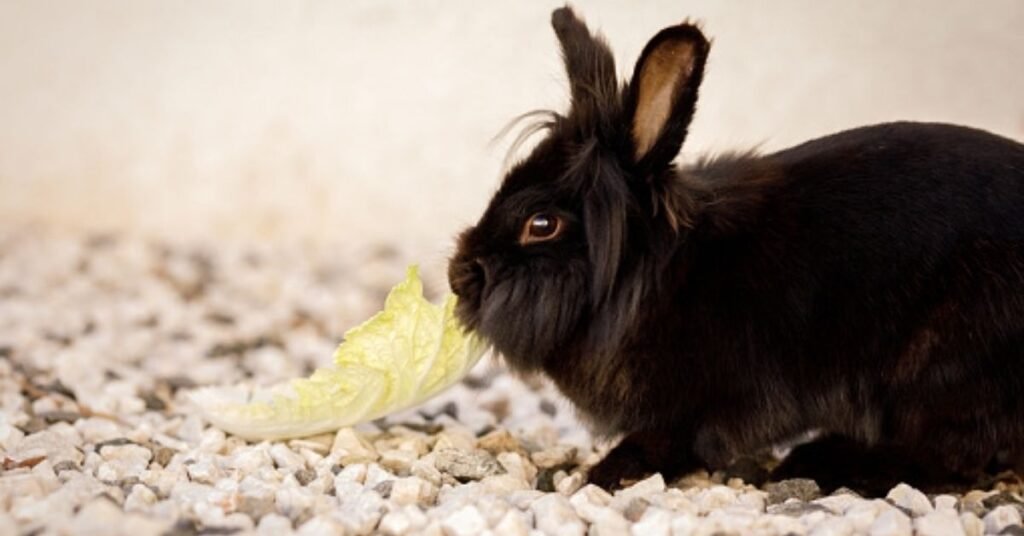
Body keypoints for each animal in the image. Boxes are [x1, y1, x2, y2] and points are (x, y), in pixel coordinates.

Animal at [448, 5, 1024, 492]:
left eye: (541, 224)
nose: (459, 276)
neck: (647, 276)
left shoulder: (688, 409)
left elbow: (664, 441)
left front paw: (608, 473)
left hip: (943, 366)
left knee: (951, 453)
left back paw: (826, 465)